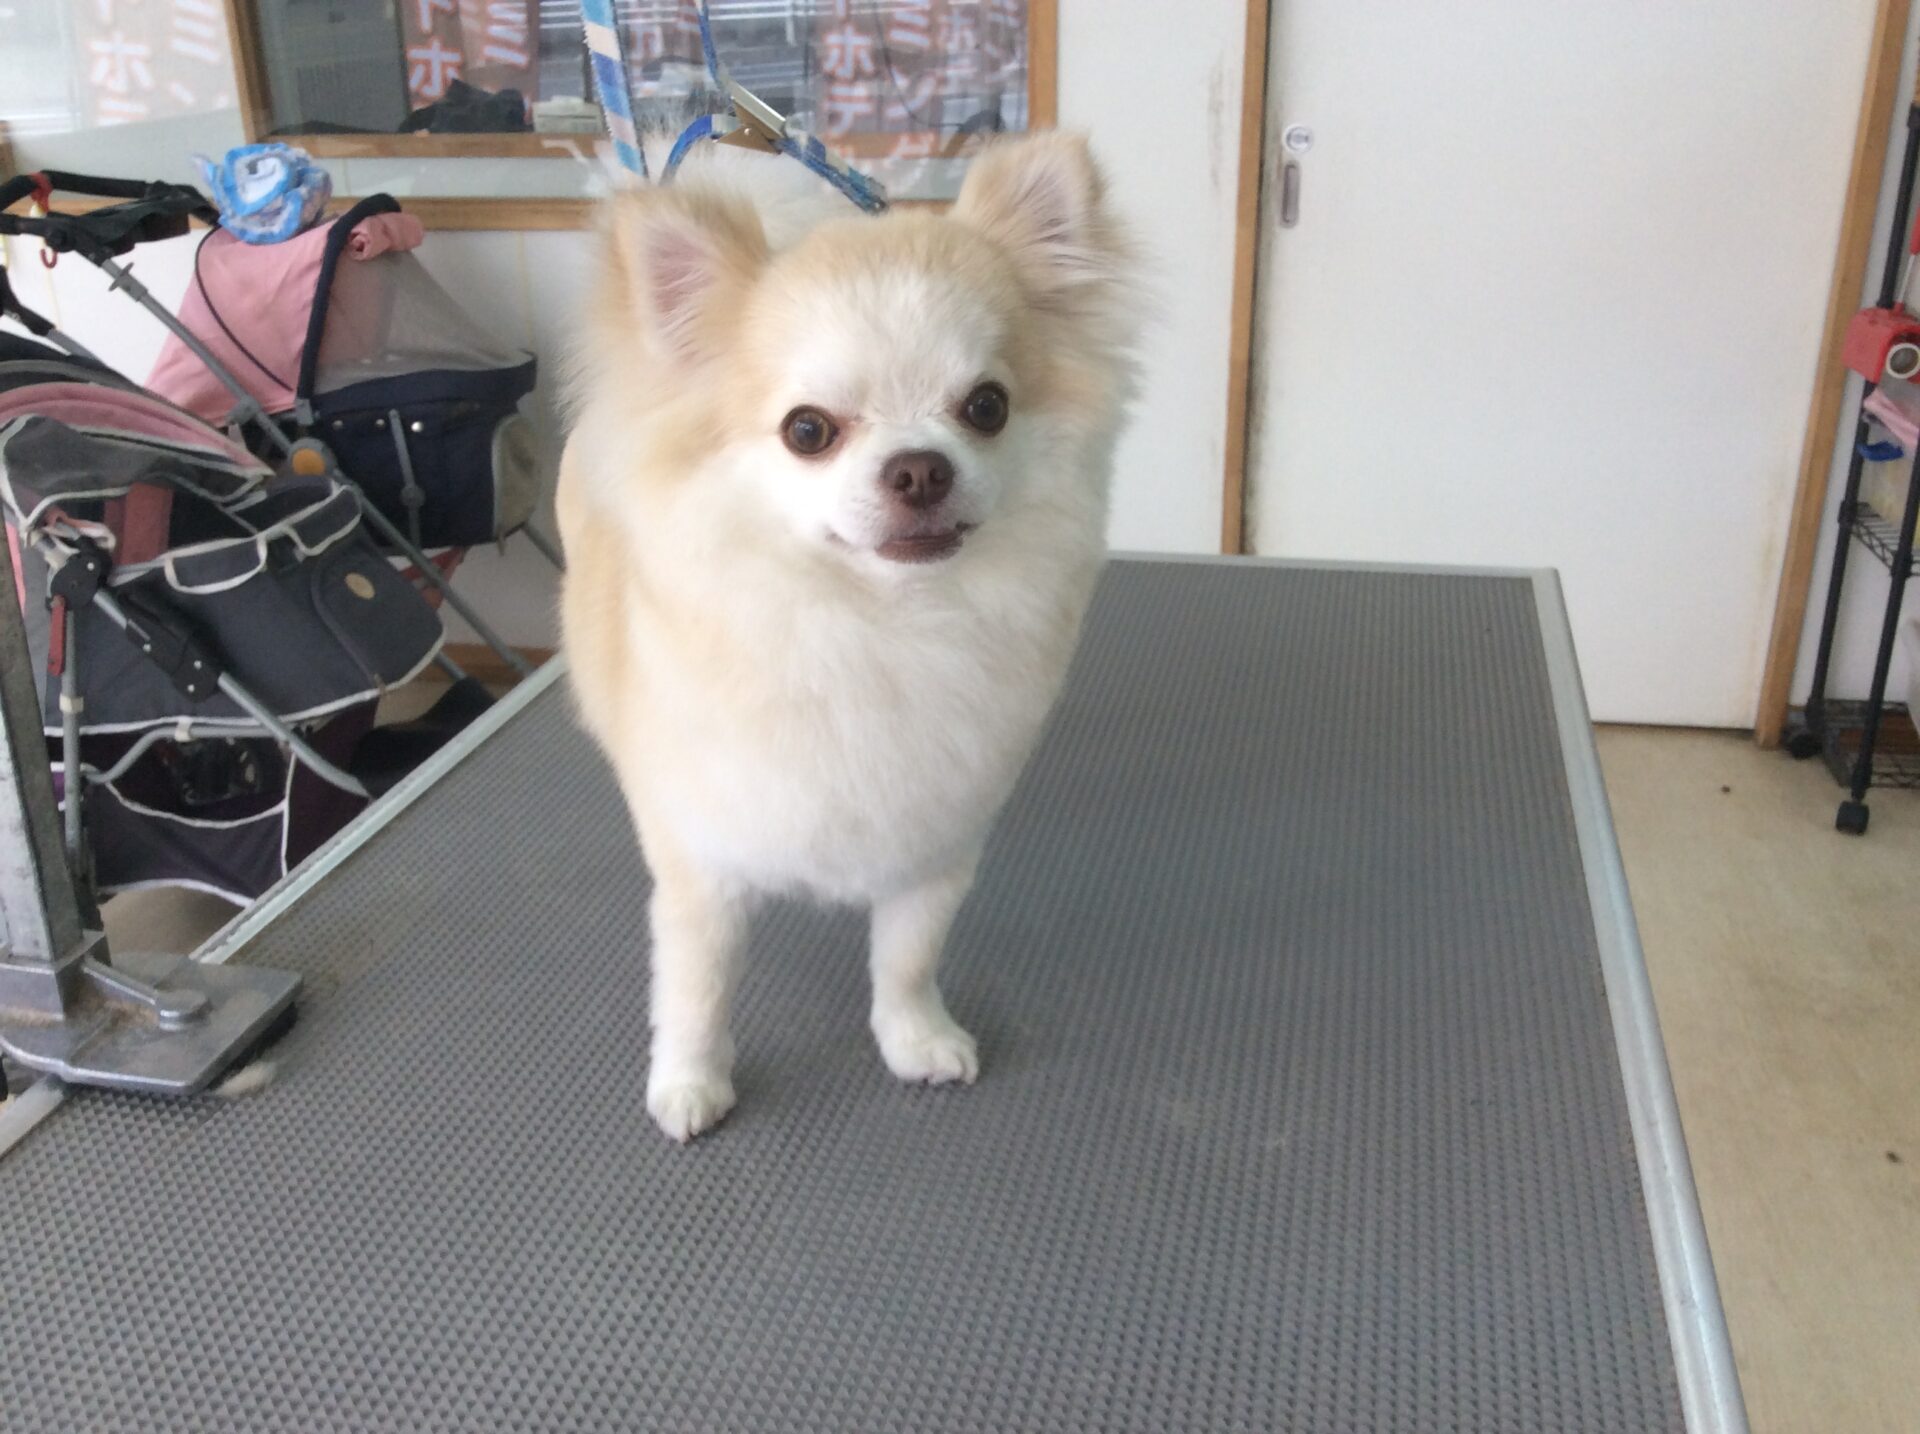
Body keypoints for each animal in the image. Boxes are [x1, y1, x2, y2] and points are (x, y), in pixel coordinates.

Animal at [557, 131, 1138, 1141]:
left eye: (986, 406)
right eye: (808, 430)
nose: (918, 469)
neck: (872, 627)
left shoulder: (933, 851)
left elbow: (906, 960)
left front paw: (915, 1039)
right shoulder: (701, 869)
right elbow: (698, 988)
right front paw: (690, 1081)